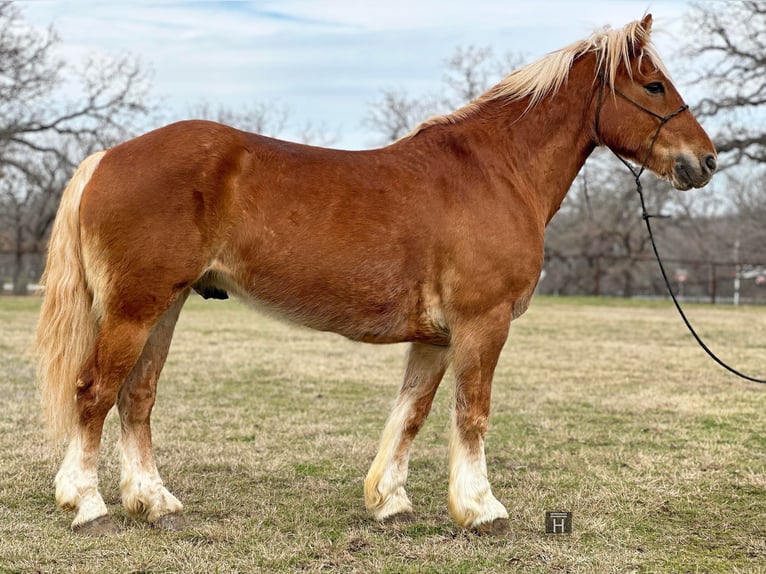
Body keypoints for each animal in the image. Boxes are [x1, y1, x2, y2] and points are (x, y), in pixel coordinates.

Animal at [36, 13, 720, 536]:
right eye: (654, 86)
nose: (708, 160)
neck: (497, 171)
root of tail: (107, 157)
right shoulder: (483, 324)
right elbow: (472, 413)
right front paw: (482, 510)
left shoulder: (438, 337)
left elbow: (412, 412)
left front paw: (389, 501)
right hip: (135, 307)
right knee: (94, 392)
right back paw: (88, 504)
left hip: (165, 305)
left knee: (137, 397)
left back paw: (153, 501)